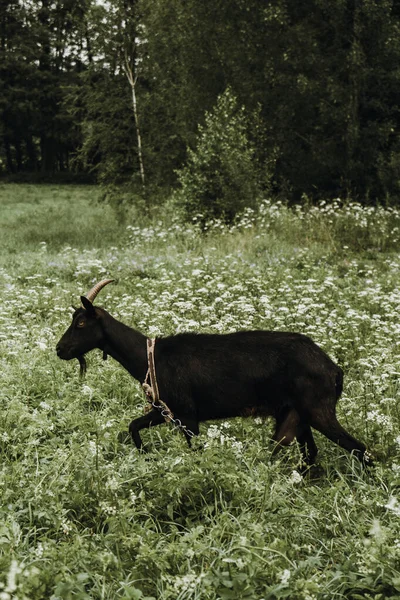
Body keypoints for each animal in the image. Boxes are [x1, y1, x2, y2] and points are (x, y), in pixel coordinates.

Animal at [56, 278, 372, 472]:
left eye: (81, 323)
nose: (59, 349)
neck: (150, 358)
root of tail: (334, 369)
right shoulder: (167, 411)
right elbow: (133, 426)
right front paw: (145, 455)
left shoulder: (188, 416)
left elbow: (193, 449)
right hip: (294, 415)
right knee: (308, 453)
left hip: (318, 410)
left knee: (360, 449)